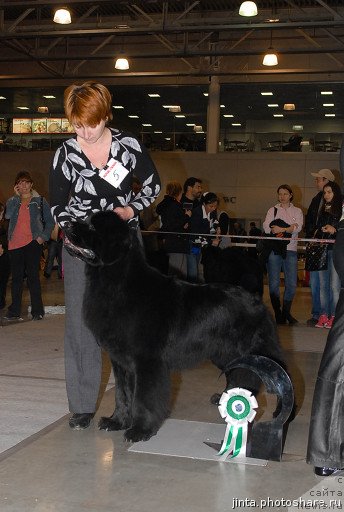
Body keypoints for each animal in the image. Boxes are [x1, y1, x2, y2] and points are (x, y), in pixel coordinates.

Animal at [64, 210, 284, 442]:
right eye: (85, 220)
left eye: (93, 227)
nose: (66, 224)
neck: (116, 283)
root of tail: (257, 300)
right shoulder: (120, 361)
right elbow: (122, 394)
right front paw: (117, 421)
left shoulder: (147, 361)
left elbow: (143, 398)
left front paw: (140, 430)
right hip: (224, 355)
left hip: (257, 354)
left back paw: (279, 414)